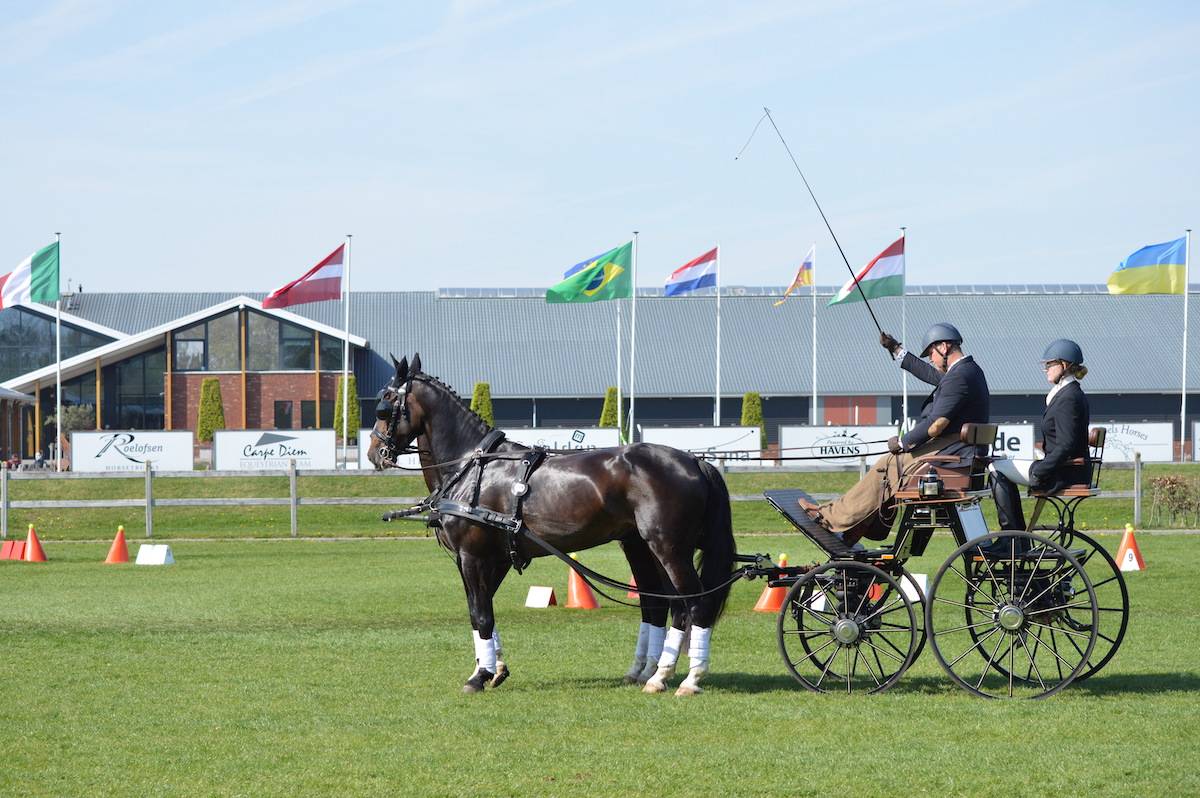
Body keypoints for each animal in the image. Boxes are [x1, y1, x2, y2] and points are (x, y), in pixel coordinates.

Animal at [367, 354, 737, 696]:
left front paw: (479, 676)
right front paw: (495, 668)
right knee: (662, 605)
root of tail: (694, 461)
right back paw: (650, 673)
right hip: (643, 546)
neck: (472, 466)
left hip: (669, 547)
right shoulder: (492, 559)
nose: (373, 453)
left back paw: (685, 679)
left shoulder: (472, 557)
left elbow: (480, 614)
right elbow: (483, 611)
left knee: (694, 605)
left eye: (385, 403)